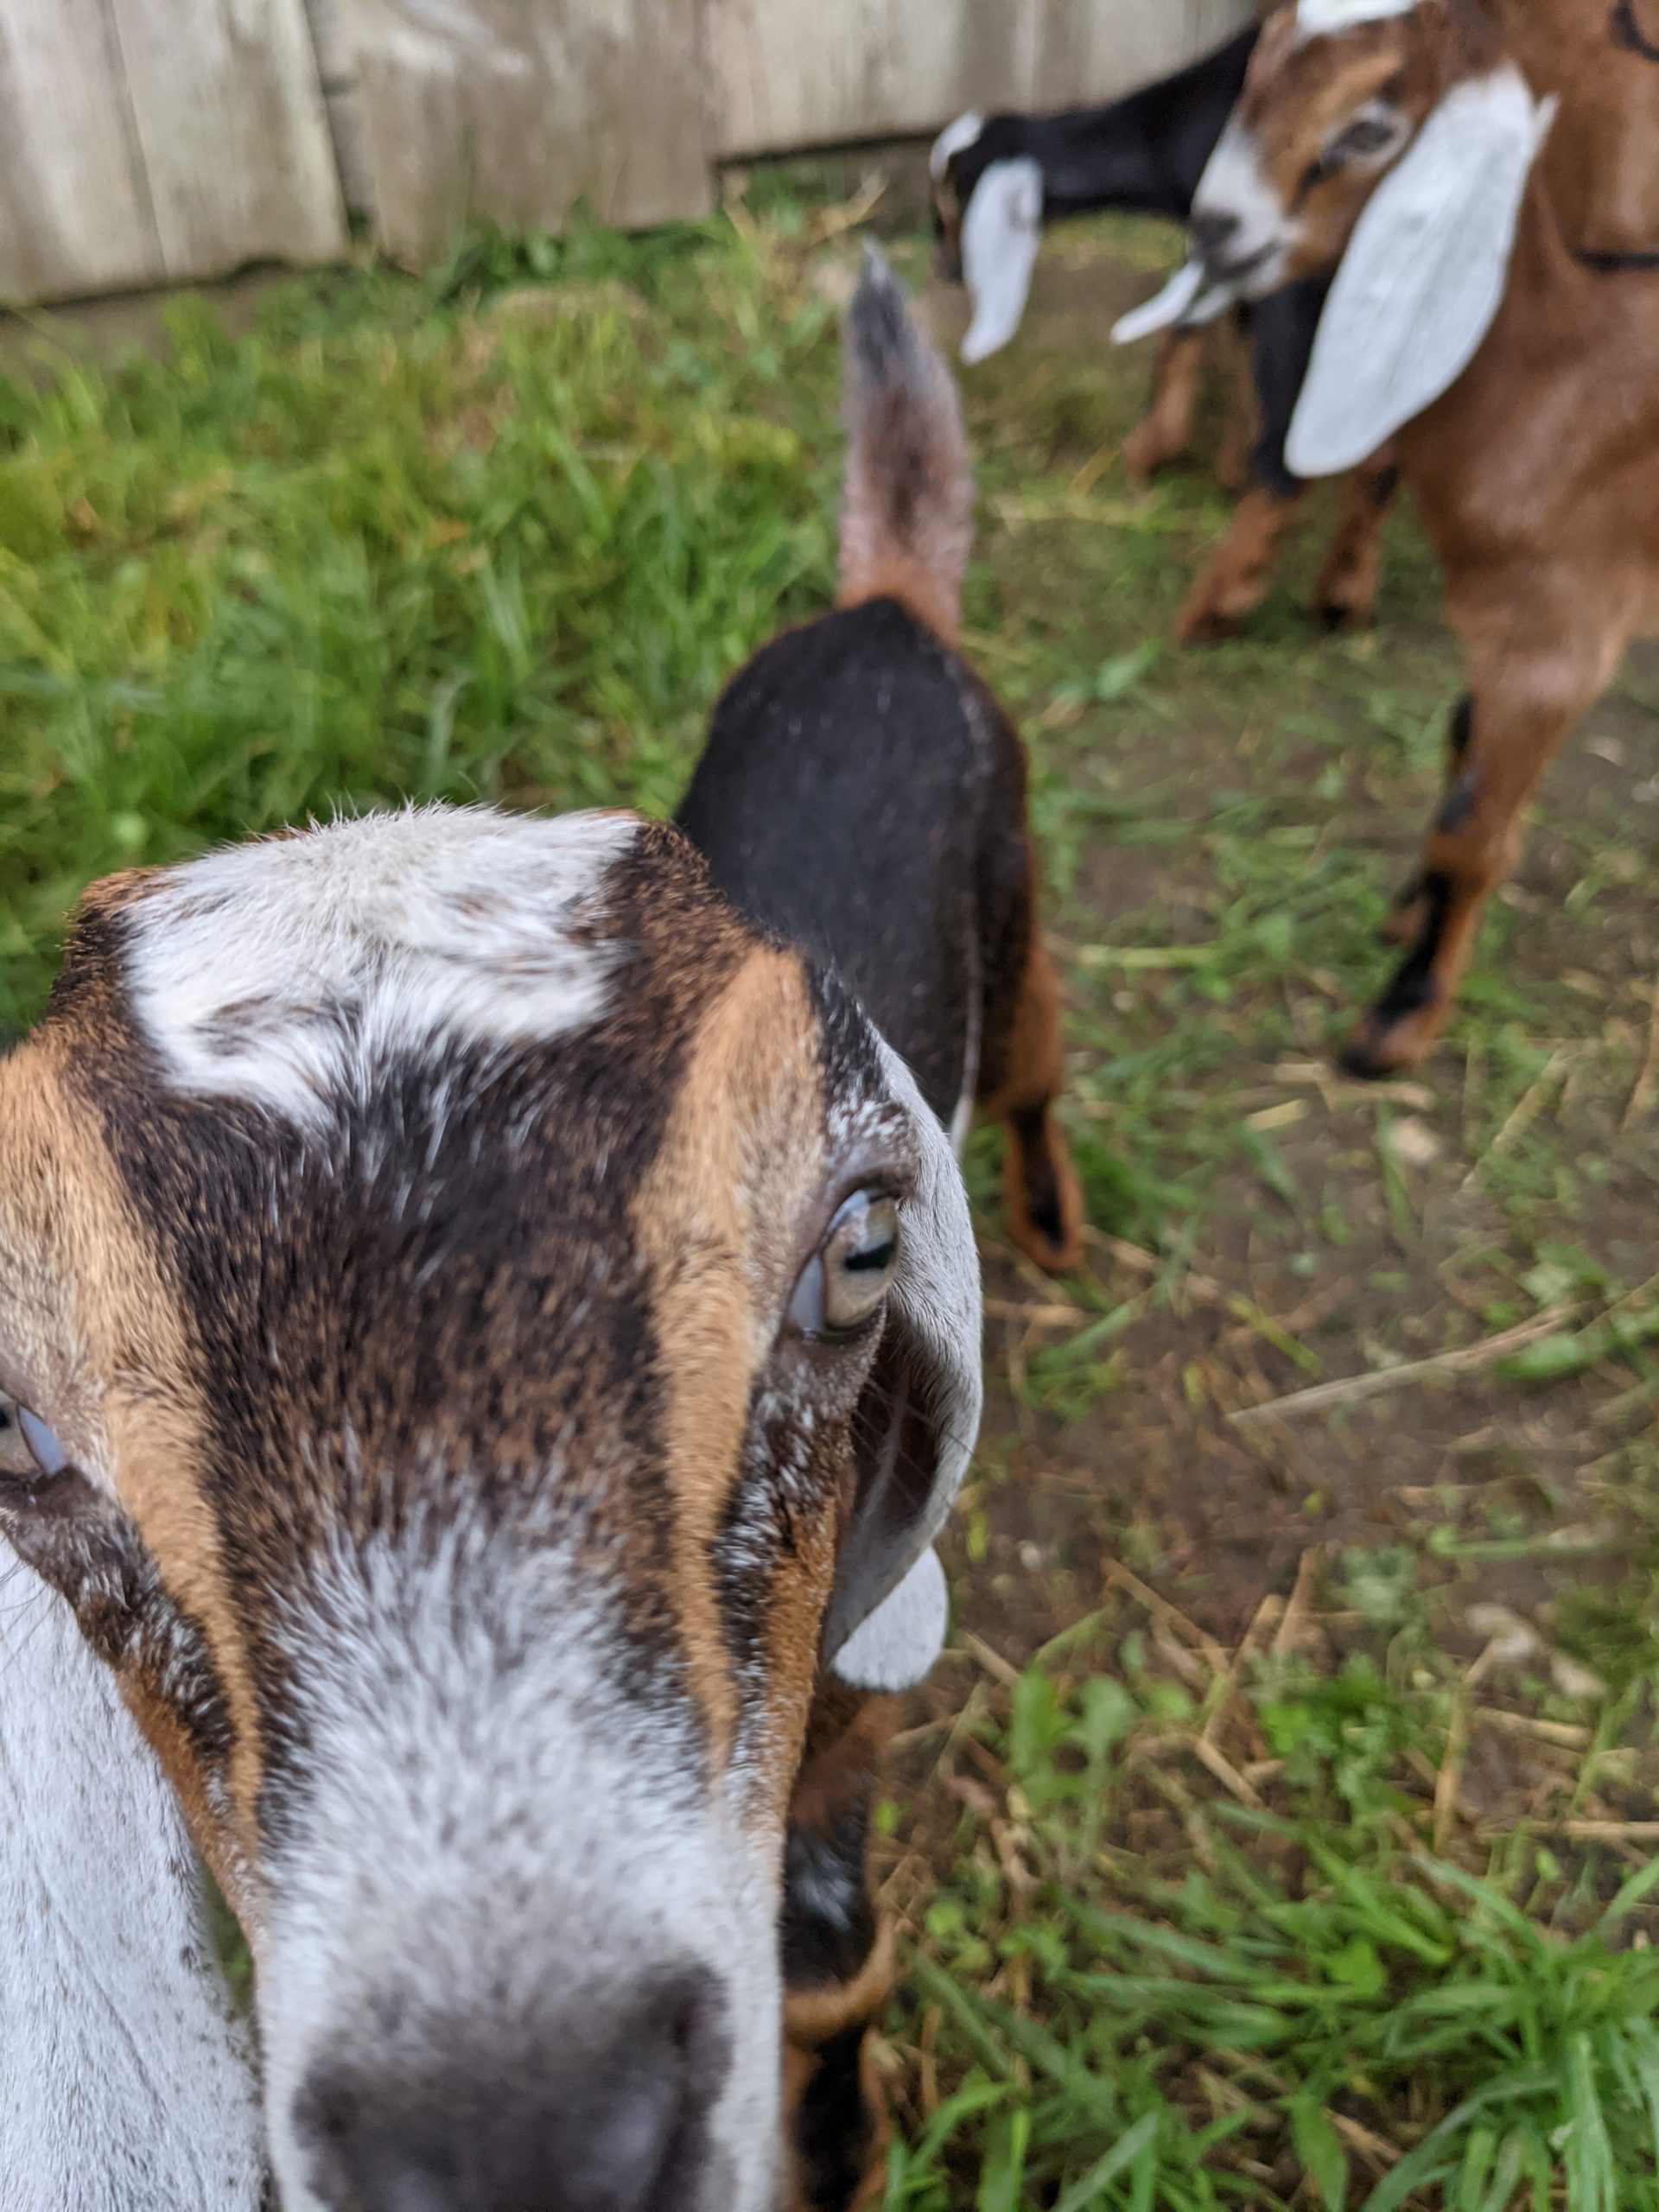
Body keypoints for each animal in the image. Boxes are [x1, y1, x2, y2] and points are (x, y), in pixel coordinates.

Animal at [1185, 0, 1659, 1071]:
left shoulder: (1562, 625)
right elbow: (1460, 744)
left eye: (1370, 129)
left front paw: (1399, 1017)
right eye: (1258, 62)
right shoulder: (1501, 619)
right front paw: (1412, 915)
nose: (1215, 228)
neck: (1568, 371)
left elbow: (1467, 825)